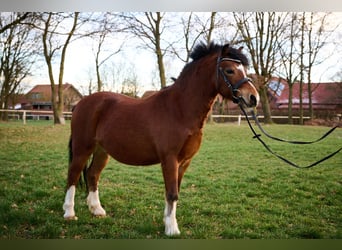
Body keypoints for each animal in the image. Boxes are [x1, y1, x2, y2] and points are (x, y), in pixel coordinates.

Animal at [62, 42, 260, 235]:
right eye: (229, 70)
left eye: (244, 69)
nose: (253, 98)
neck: (179, 109)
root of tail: (80, 103)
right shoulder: (170, 159)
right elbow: (172, 193)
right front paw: (172, 229)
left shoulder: (184, 162)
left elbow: (174, 191)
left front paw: (167, 222)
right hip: (82, 149)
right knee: (73, 175)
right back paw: (69, 213)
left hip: (102, 151)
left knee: (92, 174)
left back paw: (97, 210)